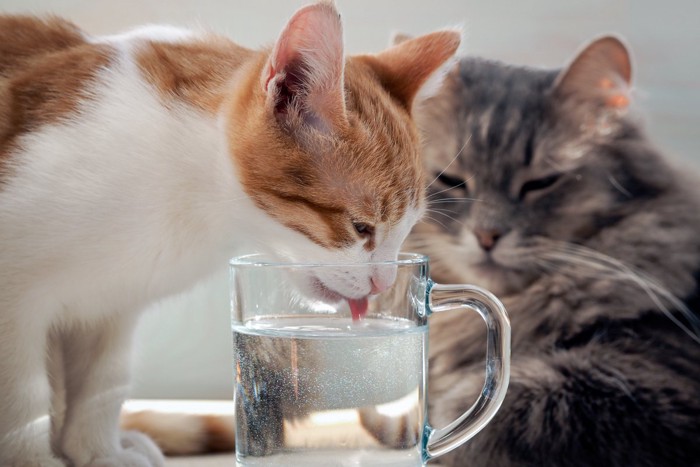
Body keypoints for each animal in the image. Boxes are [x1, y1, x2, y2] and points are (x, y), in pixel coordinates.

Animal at [0, 1, 460, 466]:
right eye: (361, 227)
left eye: (406, 230)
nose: (383, 282)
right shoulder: (15, 299)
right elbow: (22, 398)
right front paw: (32, 458)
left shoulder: (113, 304)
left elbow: (101, 381)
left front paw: (100, 451)